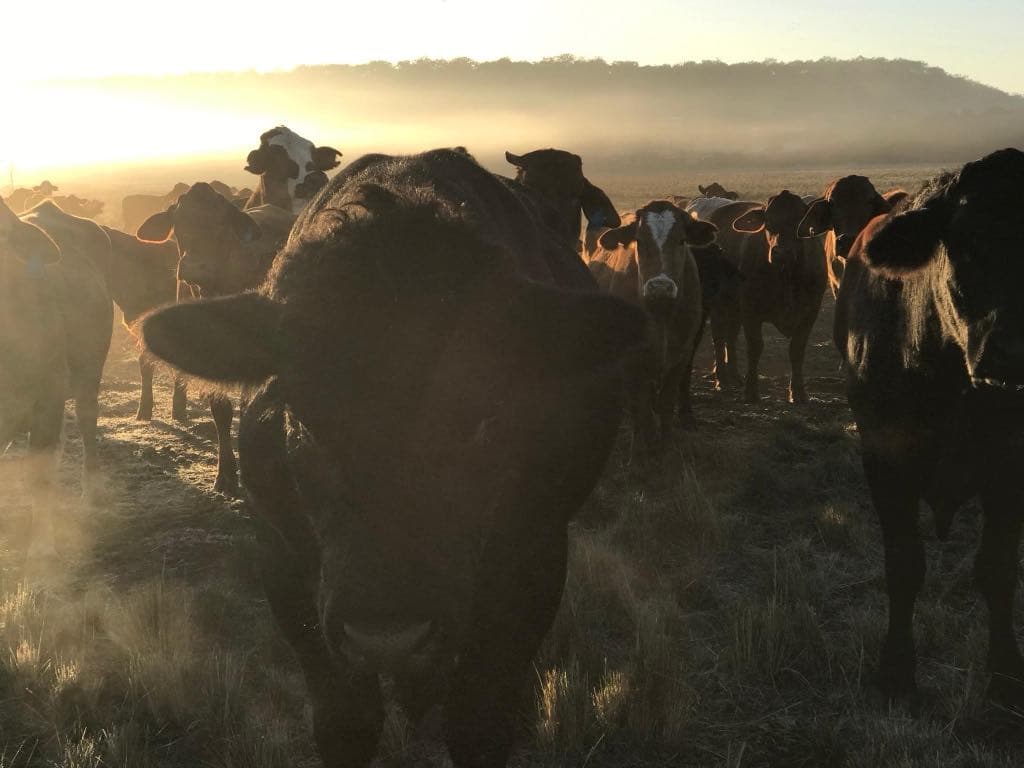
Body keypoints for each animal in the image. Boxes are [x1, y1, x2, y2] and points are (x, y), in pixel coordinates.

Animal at [1, 199, 112, 555]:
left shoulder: (48, 398)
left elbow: (40, 475)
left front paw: (41, 547)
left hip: (89, 372)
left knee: (86, 421)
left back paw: (95, 488)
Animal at [588, 200, 716, 450]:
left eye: (682, 240)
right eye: (639, 240)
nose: (660, 286)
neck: (661, 315)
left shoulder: (680, 357)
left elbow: (666, 404)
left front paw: (664, 447)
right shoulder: (632, 361)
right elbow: (641, 411)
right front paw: (640, 450)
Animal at [688, 192, 827, 402]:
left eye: (798, 222)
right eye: (768, 222)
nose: (781, 252)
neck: (786, 277)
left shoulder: (810, 312)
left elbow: (797, 349)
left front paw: (798, 392)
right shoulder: (750, 310)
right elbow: (755, 347)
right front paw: (751, 391)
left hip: (734, 307)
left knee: (731, 337)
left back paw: (735, 376)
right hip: (719, 304)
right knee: (719, 338)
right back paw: (722, 379)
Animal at [835, 148, 1024, 704]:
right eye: (963, 243)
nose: (1011, 352)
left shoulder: (1011, 464)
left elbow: (997, 569)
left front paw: (1005, 674)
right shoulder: (884, 455)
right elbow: (904, 565)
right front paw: (896, 671)